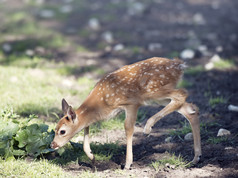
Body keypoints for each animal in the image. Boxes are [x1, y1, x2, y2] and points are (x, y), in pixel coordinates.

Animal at [51, 56, 202, 168]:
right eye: (54, 129)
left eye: (62, 131)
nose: (53, 145)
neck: (100, 103)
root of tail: (179, 65)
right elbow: (86, 126)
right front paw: (91, 156)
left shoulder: (131, 103)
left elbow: (128, 127)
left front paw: (128, 164)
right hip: (158, 97)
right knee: (190, 109)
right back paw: (196, 158)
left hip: (153, 90)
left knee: (181, 94)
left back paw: (148, 128)